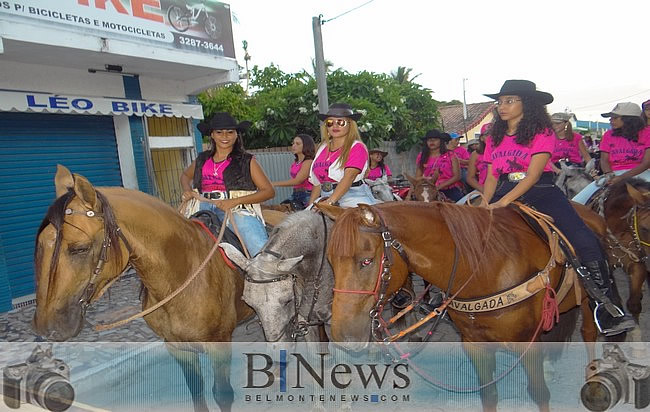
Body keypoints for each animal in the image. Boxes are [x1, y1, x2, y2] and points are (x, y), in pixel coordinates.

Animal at [32, 165, 253, 412]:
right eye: (40, 245)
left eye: (80, 248)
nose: (46, 327)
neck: (181, 277)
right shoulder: (176, 346)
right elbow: (196, 390)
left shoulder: (219, 345)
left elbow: (222, 395)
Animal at [314, 201, 604, 410]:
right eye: (330, 261)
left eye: (366, 260)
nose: (343, 336)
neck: (484, 269)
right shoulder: (475, 344)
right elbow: (489, 394)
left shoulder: (528, 343)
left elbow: (539, 393)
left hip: (589, 303)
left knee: (589, 333)